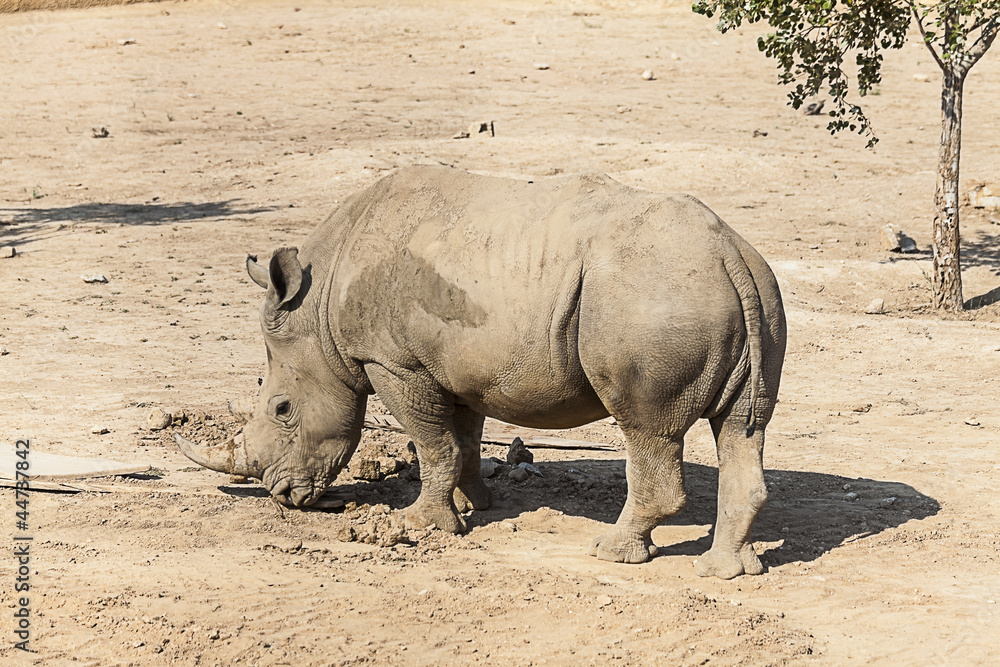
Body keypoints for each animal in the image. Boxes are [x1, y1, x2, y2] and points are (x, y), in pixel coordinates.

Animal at [177, 166, 786, 579]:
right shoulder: (455, 366)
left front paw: (422, 525)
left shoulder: (394, 362)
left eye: (282, 409)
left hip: (652, 299)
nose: (282, 496)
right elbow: (462, 438)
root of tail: (731, 255)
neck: (319, 303)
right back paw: (726, 571)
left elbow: (432, 443)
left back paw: (612, 553)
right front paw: (474, 505)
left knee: (646, 427)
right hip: (750, 294)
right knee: (742, 428)